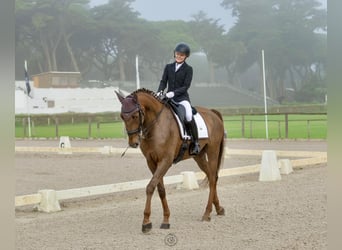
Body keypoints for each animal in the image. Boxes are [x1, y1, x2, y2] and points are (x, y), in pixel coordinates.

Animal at [116, 88, 226, 232]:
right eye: (122, 116)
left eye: (134, 116)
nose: (133, 143)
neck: (156, 125)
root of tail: (213, 113)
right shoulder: (152, 162)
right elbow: (160, 189)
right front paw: (166, 219)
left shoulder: (165, 161)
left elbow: (150, 187)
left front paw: (146, 222)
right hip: (199, 156)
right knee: (211, 175)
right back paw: (218, 208)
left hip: (213, 150)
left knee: (213, 178)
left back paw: (207, 213)